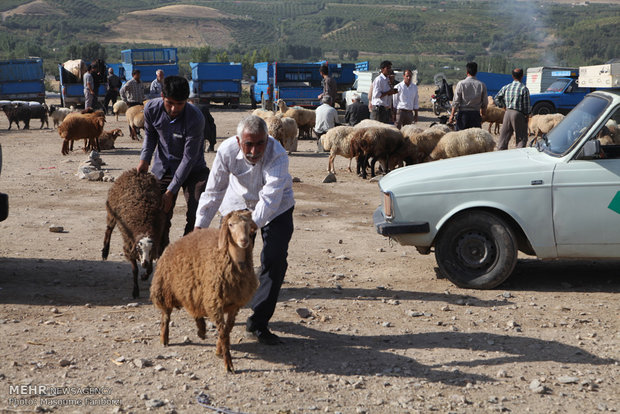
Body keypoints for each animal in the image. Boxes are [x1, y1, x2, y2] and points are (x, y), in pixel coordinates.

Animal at [101, 170, 166, 300]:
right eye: (138, 249)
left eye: (150, 250)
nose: (144, 263)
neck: (143, 227)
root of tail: (135, 171)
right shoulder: (129, 246)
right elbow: (135, 270)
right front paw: (135, 291)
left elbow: (151, 268)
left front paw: (144, 276)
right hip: (112, 211)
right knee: (108, 230)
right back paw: (105, 251)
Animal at [149, 209, 258, 374]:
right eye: (231, 225)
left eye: (249, 225)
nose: (244, 241)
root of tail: (174, 243)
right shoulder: (215, 302)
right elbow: (223, 332)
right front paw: (228, 363)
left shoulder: (234, 304)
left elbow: (227, 330)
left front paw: (219, 350)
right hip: (165, 288)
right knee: (166, 315)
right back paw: (164, 338)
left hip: (194, 289)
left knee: (195, 309)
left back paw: (201, 330)